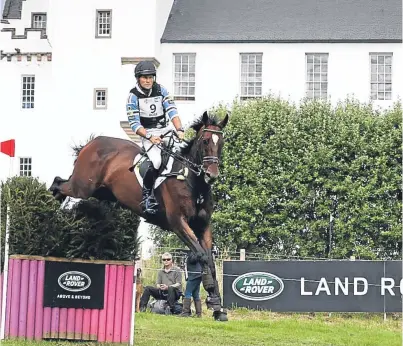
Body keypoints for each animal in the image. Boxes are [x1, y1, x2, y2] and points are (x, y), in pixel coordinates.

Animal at [49, 111, 230, 322]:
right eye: (205, 141)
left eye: (221, 142)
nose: (211, 175)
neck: (191, 181)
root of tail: (91, 143)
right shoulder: (178, 223)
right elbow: (201, 255)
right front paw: (213, 300)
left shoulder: (203, 226)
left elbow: (210, 260)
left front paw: (217, 307)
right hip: (82, 188)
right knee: (58, 184)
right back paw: (51, 208)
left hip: (101, 193)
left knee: (63, 185)